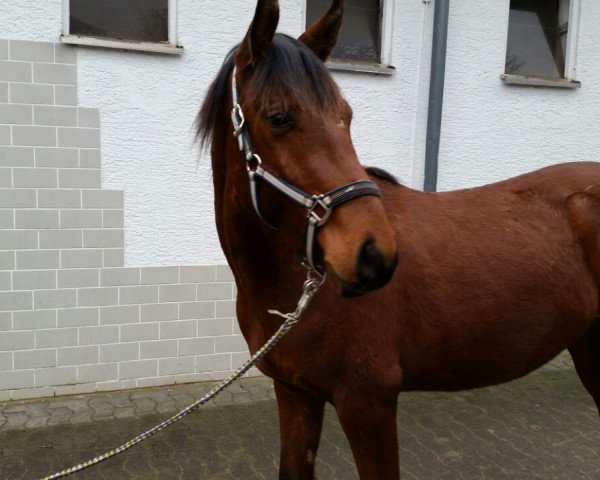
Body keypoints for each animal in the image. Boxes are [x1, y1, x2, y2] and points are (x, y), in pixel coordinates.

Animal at [198, 1, 600, 478]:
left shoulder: (367, 402)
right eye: (279, 118)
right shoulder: (295, 394)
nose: (376, 255)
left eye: (347, 116)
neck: (292, 288)